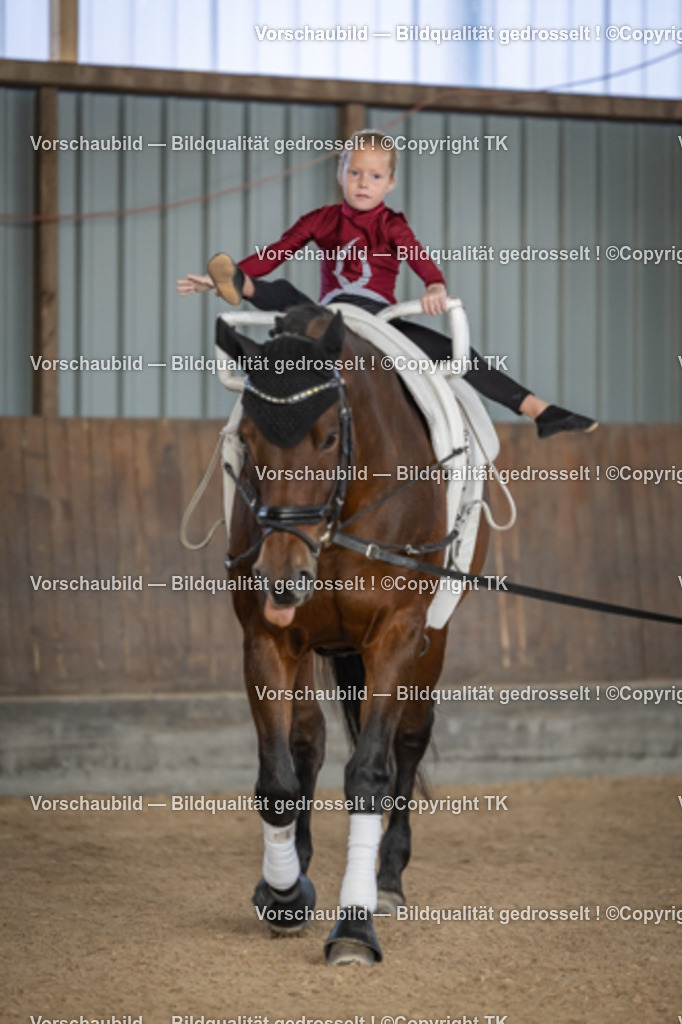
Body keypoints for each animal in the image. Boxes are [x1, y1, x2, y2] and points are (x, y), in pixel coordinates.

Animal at [216, 304, 489, 965]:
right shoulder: (267, 639)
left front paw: (356, 924)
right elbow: (279, 778)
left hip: (432, 639)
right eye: (248, 440)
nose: (283, 575)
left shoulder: (396, 636)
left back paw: (387, 879)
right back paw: (297, 863)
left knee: (409, 741)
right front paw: (285, 894)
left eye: (328, 439)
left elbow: (369, 773)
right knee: (309, 741)